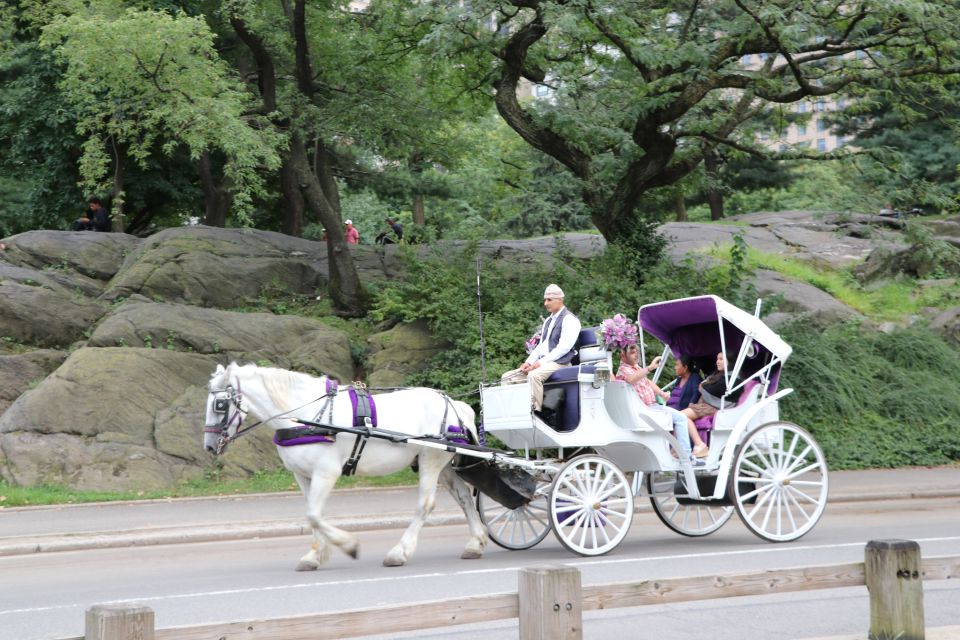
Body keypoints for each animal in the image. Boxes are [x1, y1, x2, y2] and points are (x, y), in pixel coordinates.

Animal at [202, 362, 488, 568]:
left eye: (219, 404)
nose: (209, 446)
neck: (306, 415)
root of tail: (454, 405)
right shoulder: (303, 476)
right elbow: (313, 514)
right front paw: (314, 556)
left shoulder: (326, 472)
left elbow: (313, 515)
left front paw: (349, 545)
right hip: (444, 465)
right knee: (464, 497)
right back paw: (476, 542)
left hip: (431, 460)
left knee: (425, 504)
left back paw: (399, 552)